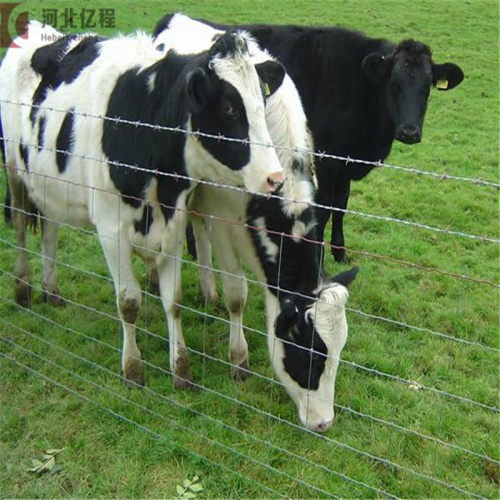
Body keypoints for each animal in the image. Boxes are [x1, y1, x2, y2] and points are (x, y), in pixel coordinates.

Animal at [0, 20, 288, 386]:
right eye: (228, 108)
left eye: (261, 103)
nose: (274, 178)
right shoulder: (110, 230)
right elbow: (128, 302)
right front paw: (132, 368)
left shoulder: (174, 222)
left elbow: (173, 301)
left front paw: (181, 368)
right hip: (14, 168)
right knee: (21, 226)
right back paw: (23, 289)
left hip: (49, 181)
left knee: (50, 231)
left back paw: (51, 290)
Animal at [154, 13, 358, 432]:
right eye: (309, 355)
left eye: (338, 353)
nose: (324, 424)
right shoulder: (222, 213)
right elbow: (237, 293)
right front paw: (239, 360)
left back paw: (207, 290)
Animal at [155, 14, 464, 262]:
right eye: (394, 83)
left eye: (426, 88)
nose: (410, 131)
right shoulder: (325, 160)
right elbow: (324, 209)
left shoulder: (344, 164)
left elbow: (341, 205)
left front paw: (339, 251)